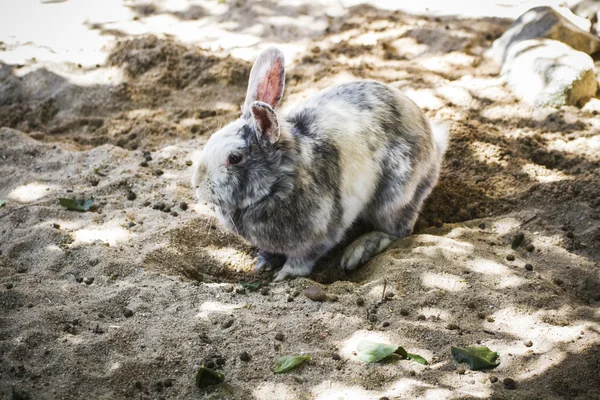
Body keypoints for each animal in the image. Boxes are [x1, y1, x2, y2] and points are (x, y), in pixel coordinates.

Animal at [190, 47, 448, 282]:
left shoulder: (316, 238)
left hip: (394, 197)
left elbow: (301, 261)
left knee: (398, 230)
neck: (280, 182)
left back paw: (357, 252)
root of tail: (434, 143)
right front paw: (263, 263)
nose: (197, 184)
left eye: (234, 158)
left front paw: (282, 276)